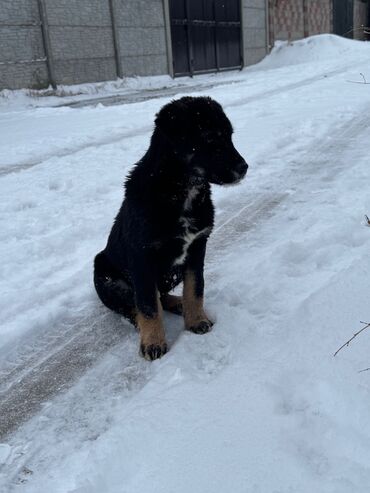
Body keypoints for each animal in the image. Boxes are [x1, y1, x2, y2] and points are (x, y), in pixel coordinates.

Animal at [94, 96, 247, 360]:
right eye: (209, 137)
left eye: (230, 135)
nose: (244, 167)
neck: (180, 191)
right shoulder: (142, 257)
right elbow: (147, 305)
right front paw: (153, 343)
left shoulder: (197, 246)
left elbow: (195, 288)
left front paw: (196, 320)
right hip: (105, 277)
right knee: (135, 305)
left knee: (162, 297)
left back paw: (178, 304)